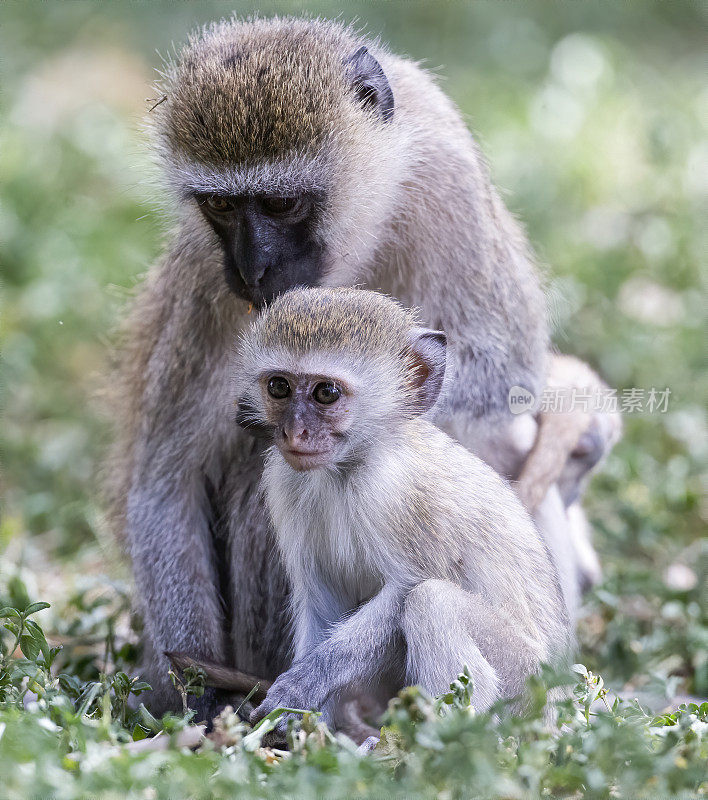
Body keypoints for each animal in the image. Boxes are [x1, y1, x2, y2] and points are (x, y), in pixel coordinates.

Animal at [235, 286, 572, 732]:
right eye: (279, 387)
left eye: (326, 393)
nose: (294, 432)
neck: (347, 469)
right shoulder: (284, 483)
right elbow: (321, 601)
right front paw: (305, 731)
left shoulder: (395, 496)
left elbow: (405, 589)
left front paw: (300, 688)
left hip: (527, 683)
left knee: (431, 603)